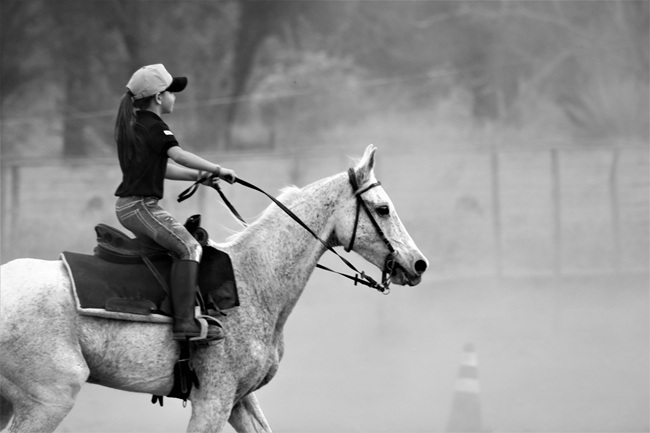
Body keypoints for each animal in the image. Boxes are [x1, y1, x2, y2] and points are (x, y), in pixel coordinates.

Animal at [0, 143, 426, 430]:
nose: (418, 263)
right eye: (383, 208)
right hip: (50, 398)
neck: (255, 281)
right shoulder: (213, 401)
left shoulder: (241, 400)